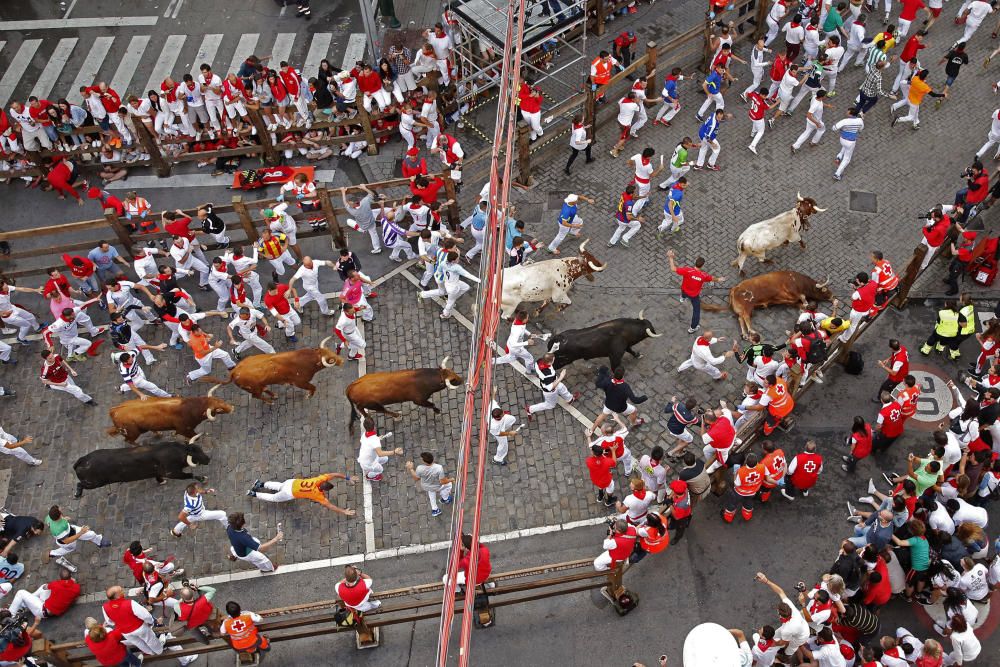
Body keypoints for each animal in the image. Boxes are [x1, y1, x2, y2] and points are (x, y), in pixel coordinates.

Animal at [73, 440, 211, 498]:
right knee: (79, 484)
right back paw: (77, 494)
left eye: (200, 449)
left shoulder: (158, 471)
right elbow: (189, 475)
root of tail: (83, 459)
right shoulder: (173, 472)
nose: (208, 459)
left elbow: (158, 476)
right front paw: (203, 478)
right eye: (195, 455)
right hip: (94, 483)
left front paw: (161, 481)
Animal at [203, 336, 344, 400]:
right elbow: (313, 387)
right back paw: (270, 401)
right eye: (331, 359)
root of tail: (233, 372)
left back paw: (274, 395)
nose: (341, 360)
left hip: (259, 385)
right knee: (256, 396)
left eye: (330, 351)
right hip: (254, 389)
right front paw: (308, 396)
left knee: (264, 390)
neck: (308, 360)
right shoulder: (300, 382)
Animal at [704, 272, 836, 340]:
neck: (797, 280)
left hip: (742, 309)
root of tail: (734, 288)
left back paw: (745, 334)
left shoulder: (791, 300)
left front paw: (804, 307)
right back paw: (751, 331)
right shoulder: (793, 291)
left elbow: (802, 304)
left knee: (740, 319)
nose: (833, 296)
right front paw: (806, 304)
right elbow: (803, 297)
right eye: (824, 290)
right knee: (746, 318)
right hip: (748, 306)